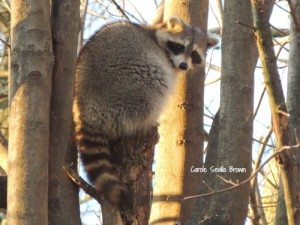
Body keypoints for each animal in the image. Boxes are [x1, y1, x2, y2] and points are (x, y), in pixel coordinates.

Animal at [73, 16, 217, 210]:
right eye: (179, 46)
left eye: (194, 54)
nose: (183, 65)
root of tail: (86, 106)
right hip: (127, 84)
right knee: (155, 80)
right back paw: (148, 121)